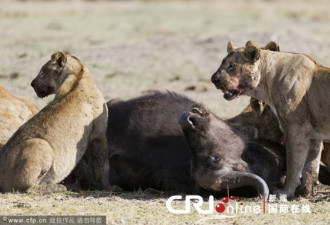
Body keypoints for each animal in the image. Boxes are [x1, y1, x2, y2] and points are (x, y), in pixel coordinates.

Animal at [211, 40, 330, 199]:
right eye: (223, 63)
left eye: (231, 65)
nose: (213, 79)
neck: (267, 80)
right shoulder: (313, 133)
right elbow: (310, 167)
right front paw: (305, 194)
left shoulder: (296, 128)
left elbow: (293, 165)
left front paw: (285, 192)